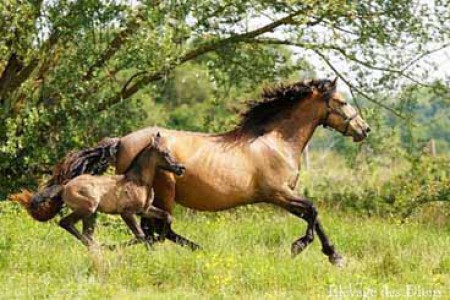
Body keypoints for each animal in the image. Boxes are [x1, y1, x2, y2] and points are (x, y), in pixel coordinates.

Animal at [116, 79, 370, 264]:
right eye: (341, 101)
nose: (364, 129)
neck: (277, 142)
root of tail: (120, 143)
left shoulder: (282, 196)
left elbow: (312, 215)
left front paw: (332, 254)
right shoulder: (279, 193)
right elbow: (313, 210)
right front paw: (305, 248)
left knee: (151, 232)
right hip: (164, 193)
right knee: (160, 230)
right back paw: (200, 250)